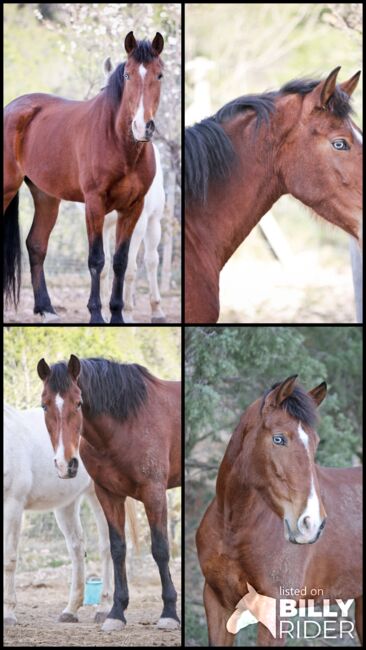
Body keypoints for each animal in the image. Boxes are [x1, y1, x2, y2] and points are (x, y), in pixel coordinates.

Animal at [3, 31, 164, 322]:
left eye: (159, 75)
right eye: (128, 75)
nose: (142, 127)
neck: (118, 144)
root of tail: (12, 108)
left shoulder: (132, 209)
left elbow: (120, 262)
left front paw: (117, 315)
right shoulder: (94, 204)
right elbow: (97, 259)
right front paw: (96, 315)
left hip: (46, 197)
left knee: (36, 244)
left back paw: (46, 309)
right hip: (7, 187)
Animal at [3, 404, 138, 624]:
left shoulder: (13, 505)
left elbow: (8, 558)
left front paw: (8, 613)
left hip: (99, 497)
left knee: (106, 548)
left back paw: (103, 609)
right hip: (66, 504)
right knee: (76, 547)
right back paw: (70, 610)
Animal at [36, 352, 181, 632]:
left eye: (79, 403)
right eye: (44, 406)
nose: (65, 464)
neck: (129, 423)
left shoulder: (154, 492)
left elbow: (160, 548)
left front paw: (169, 613)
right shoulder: (108, 494)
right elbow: (117, 549)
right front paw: (116, 612)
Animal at [196, 374, 362, 644]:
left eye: (315, 443)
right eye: (278, 438)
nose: (311, 523)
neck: (234, 527)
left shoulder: (275, 611)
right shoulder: (217, 602)